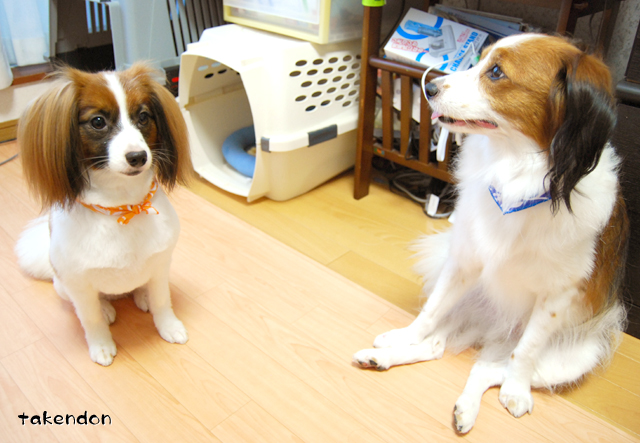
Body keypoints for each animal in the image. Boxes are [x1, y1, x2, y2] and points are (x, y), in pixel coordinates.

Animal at [15, 63, 193, 366]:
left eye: (143, 117)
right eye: (98, 121)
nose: (138, 156)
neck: (122, 206)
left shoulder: (160, 265)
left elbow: (162, 301)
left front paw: (168, 326)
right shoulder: (78, 284)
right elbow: (91, 319)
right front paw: (100, 345)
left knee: (141, 288)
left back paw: (141, 296)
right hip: (62, 285)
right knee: (96, 303)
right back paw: (107, 308)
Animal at [353, 34, 628, 433]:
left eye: (496, 72)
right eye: (480, 60)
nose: (429, 87)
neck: (518, 176)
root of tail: (493, 332)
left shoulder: (557, 297)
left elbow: (525, 351)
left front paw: (516, 391)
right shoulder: (463, 265)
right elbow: (429, 313)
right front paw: (403, 335)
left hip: (575, 356)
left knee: (489, 368)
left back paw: (473, 405)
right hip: (469, 303)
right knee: (437, 346)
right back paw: (384, 357)